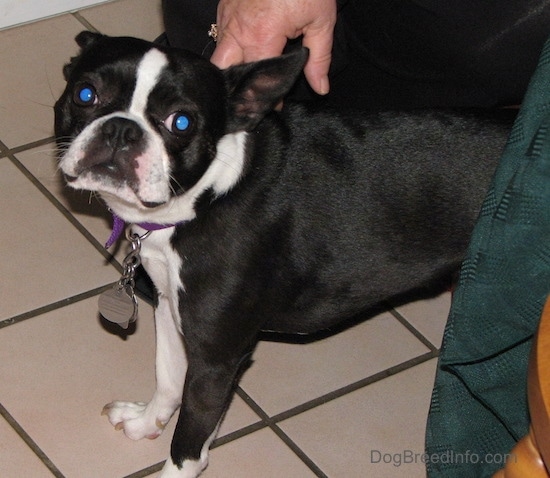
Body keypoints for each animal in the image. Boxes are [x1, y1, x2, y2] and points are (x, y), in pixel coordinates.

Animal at [55, 31, 512, 476]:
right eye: (85, 94)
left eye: (180, 122)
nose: (121, 130)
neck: (208, 196)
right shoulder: (171, 307)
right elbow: (167, 377)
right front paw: (147, 422)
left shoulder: (217, 359)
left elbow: (189, 447)